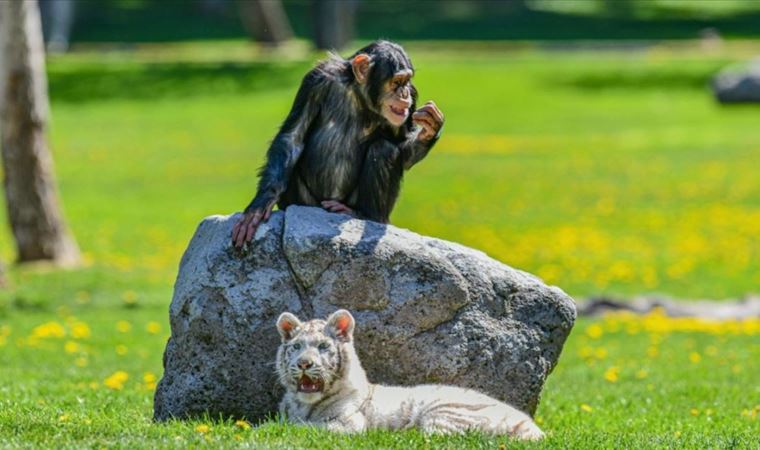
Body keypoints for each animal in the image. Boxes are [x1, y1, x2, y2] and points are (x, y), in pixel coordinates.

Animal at [233, 40, 446, 248]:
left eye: (407, 81)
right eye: (396, 82)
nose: (404, 93)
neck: (359, 95)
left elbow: (404, 152)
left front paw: (430, 128)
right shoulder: (316, 79)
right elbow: (292, 138)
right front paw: (259, 206)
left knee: (383, 149)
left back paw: (366, 215)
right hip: (309, 204)